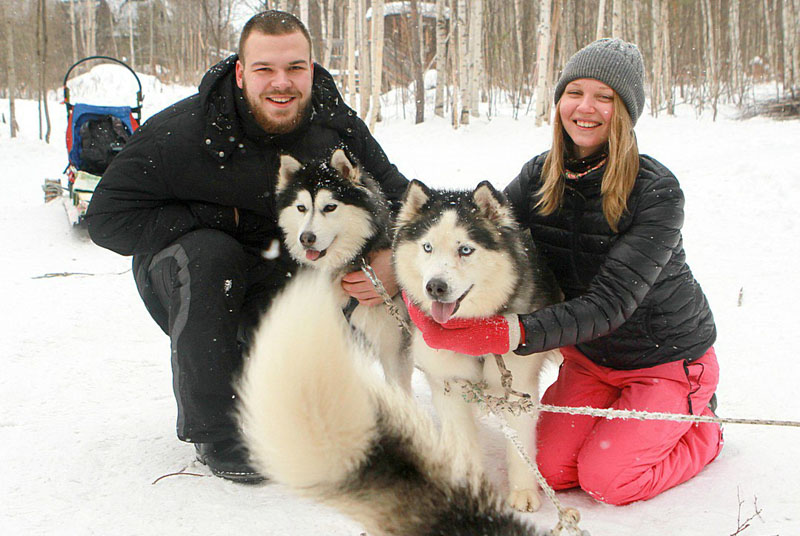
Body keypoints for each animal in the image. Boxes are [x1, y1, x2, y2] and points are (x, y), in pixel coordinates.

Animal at [394, 179, 564, 510]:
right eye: (427, 247)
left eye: (465, 249)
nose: (435, 287)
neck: (471, 331)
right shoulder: (448, 384)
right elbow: (463, 444)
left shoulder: (519, 386)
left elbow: (520, 448)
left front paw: (523, 492)